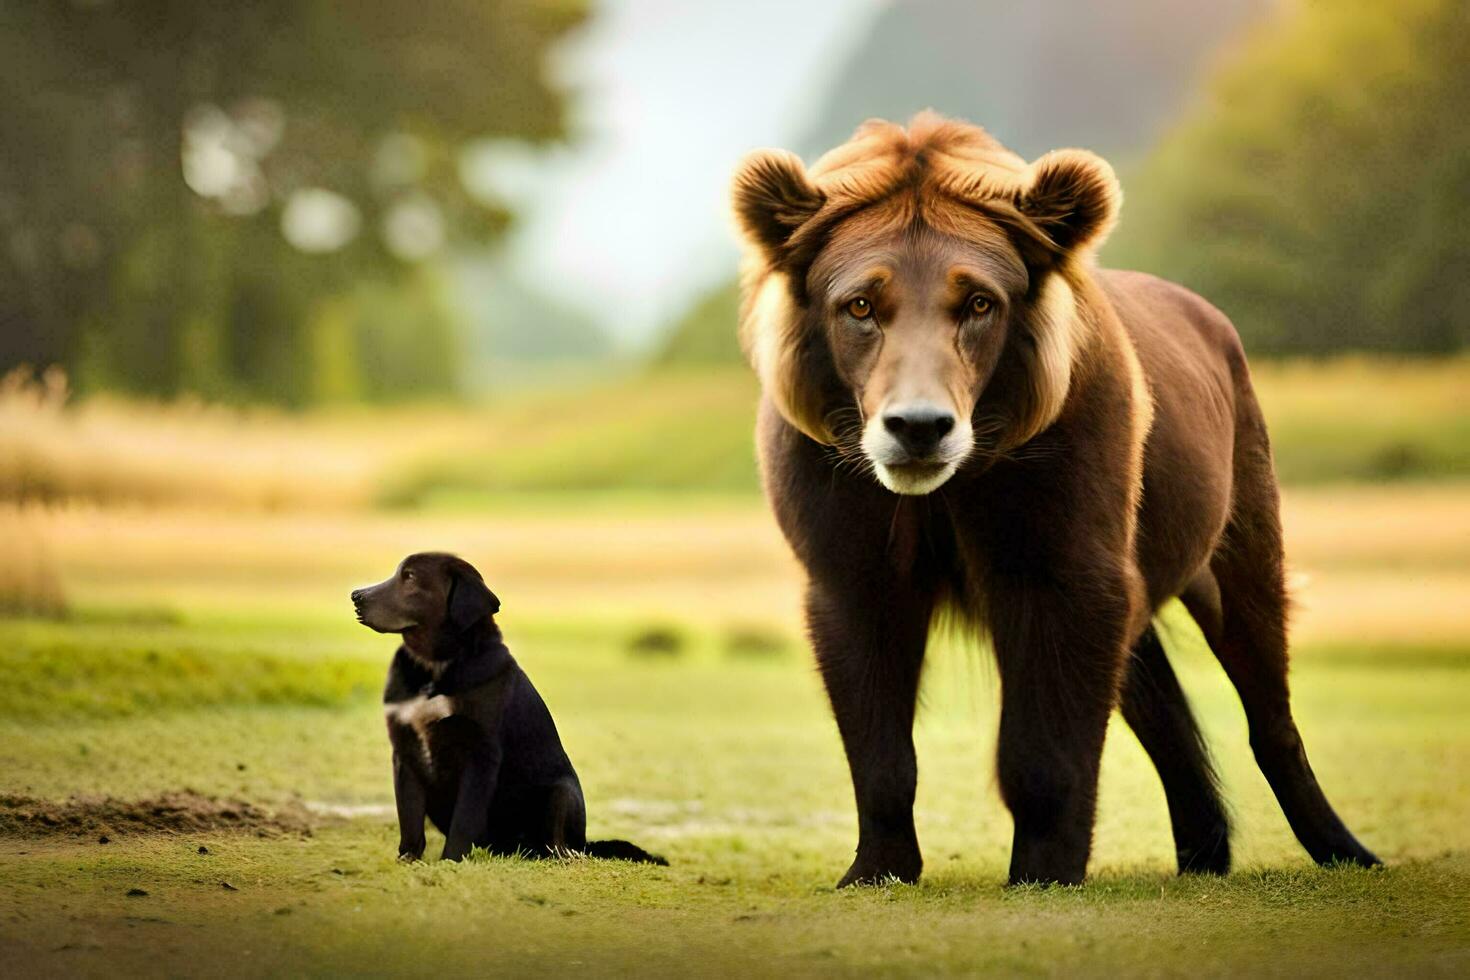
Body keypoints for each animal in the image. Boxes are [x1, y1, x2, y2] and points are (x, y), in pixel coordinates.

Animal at [352, 552, 664, 863]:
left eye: (410, 577)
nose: (356, 596)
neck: (435, 667)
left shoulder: (481, 754)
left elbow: (464, 818)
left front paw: (451, 861)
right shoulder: (406, 752)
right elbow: (410, 817)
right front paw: (408, 860)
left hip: (561, 793)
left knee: (560, 846)